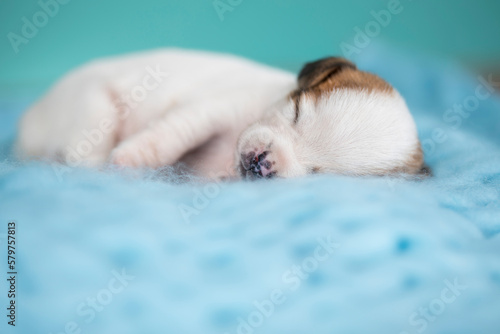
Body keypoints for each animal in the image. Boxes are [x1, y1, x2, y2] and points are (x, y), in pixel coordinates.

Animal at [15, 48, 424, 179]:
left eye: (318, 173)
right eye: (295, 112)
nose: (262, 160)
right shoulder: (213, 110)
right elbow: (173, 134)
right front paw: (131, 158)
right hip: (92, 109)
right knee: (84, 153)